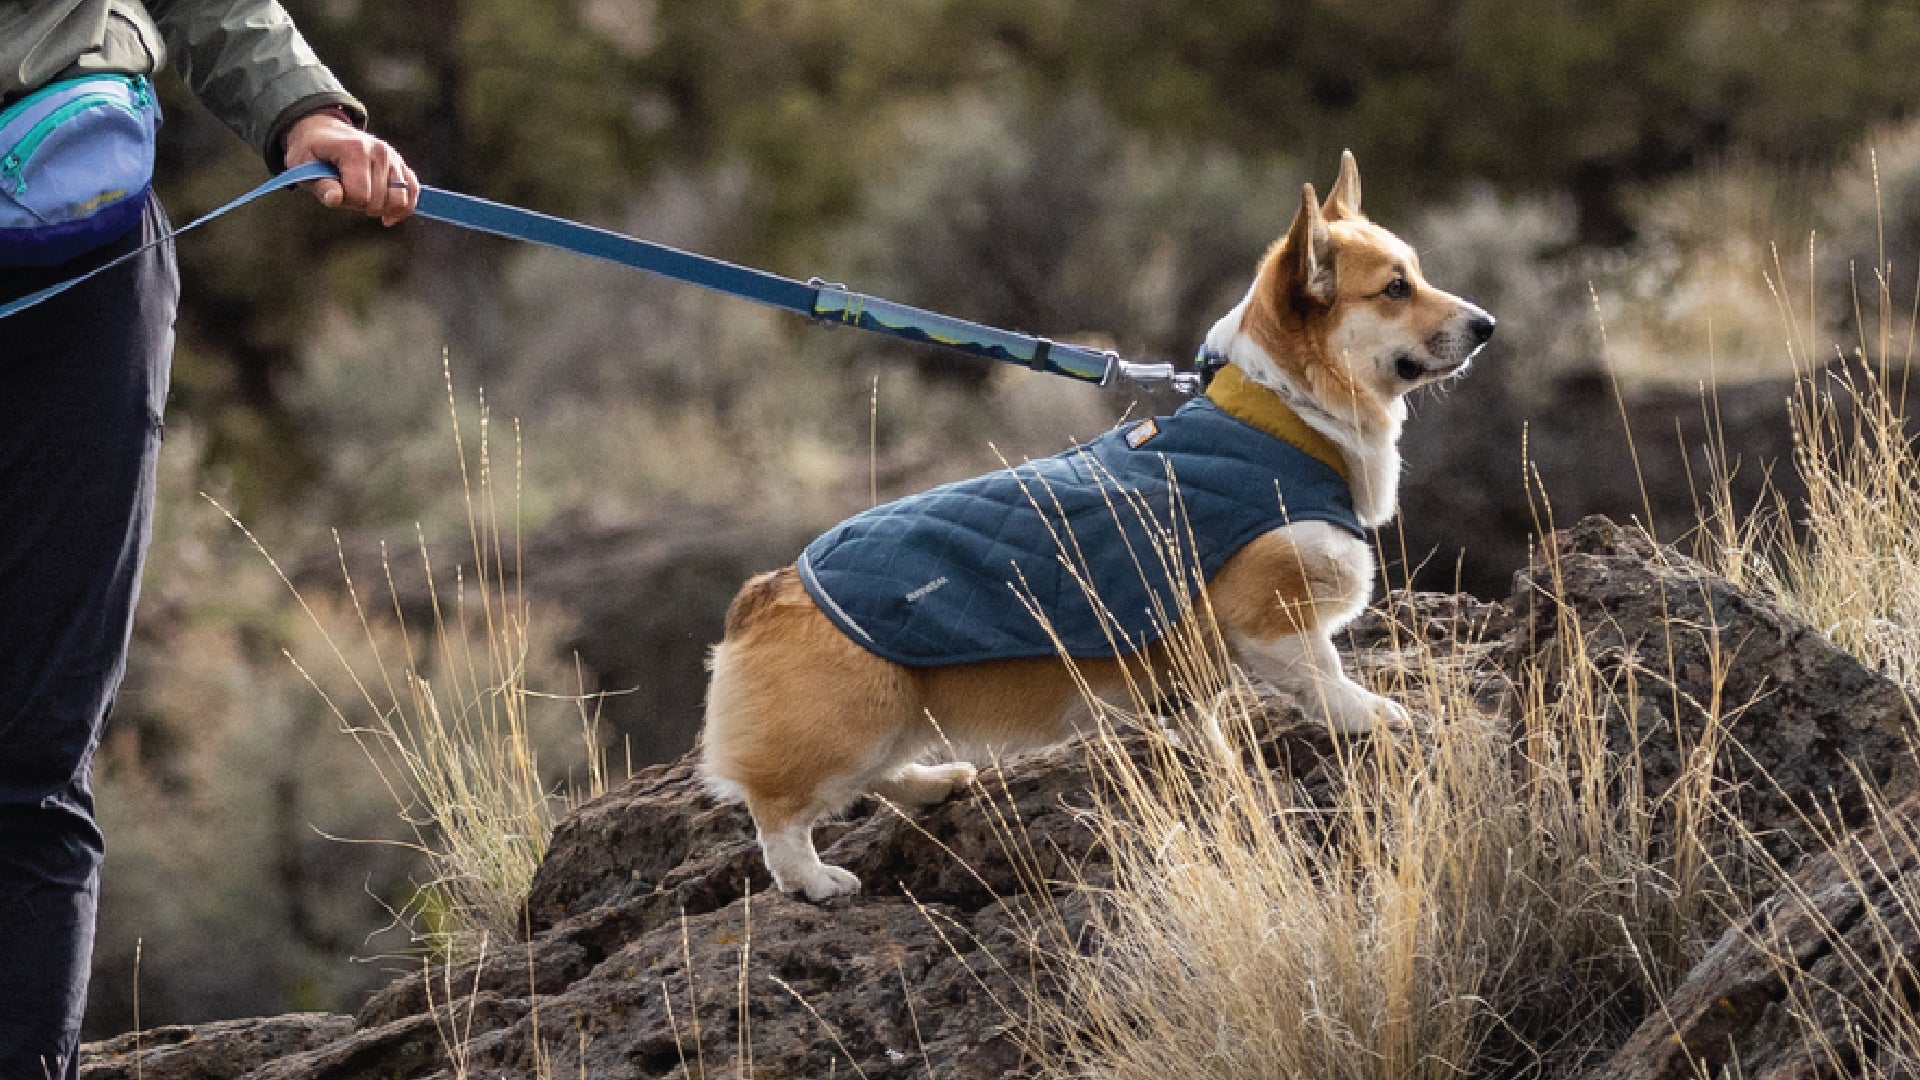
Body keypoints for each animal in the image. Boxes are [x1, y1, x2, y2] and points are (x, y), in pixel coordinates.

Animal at [698, 147, 1489, 895]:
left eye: (1417, 273)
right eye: (1395, 288)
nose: (1488, 326)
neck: (1283, 417)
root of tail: (764, 592)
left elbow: (1207, 723)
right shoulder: (1272, 614)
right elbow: (1323, 675)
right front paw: (1372, 712)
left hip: (901, 715)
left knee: (880, 776)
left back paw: (936, 782)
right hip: (859, 721)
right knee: (779, 810)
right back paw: (814, 880)